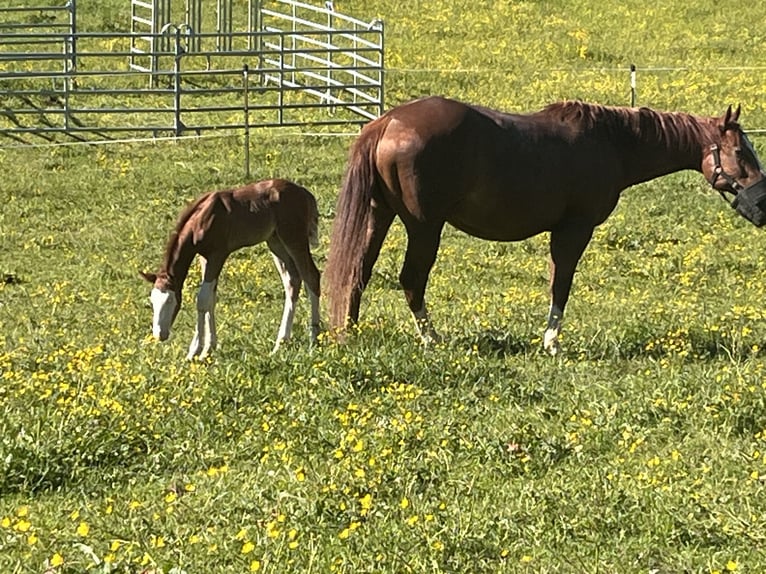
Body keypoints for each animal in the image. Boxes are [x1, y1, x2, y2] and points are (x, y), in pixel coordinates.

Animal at [140, 178, 322, 359]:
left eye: (170, 300)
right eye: (152, 301)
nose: (160, 334)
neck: (201, 220)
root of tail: (305, 193)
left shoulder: (218, 255)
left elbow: (202, 300)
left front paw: (195, 350)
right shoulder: (204, 257)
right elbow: (211, 300)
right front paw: (209, 348)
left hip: (293, 238)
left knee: (312, 277)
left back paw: (314, 339)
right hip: (275, 241)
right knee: (292, 281)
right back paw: (280, 343)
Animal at [325, 96, 766, 354]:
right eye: (741, 152)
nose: (762, 207)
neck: (611, 143)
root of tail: (387, 123)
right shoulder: (574, 228)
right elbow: (561, 284)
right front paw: (551, 342)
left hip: (379, 214)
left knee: (357, 272)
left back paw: (349, 334)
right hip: (424, 226)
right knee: (412, 279)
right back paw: (432, 339)